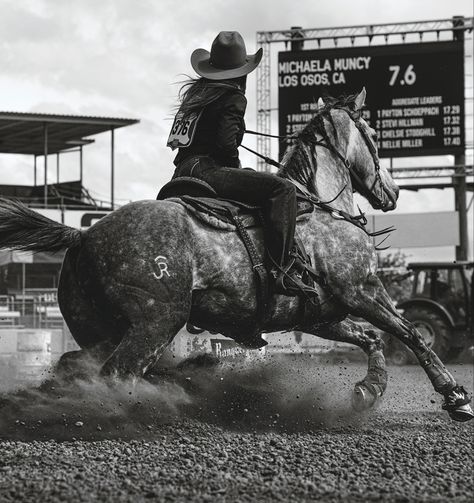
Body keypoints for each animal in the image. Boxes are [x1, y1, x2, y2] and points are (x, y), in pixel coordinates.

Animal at [0, 89, 470, 422]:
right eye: (372, 135)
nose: (392, 192)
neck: (318, 207)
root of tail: (83, 235)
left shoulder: (320, 315)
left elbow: (372, 340)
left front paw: (367, 392)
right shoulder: (363, 291)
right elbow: (411, 335)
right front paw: (455, 397)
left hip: (98, 329)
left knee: (74, 367)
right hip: (154, 324)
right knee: (118, 375)